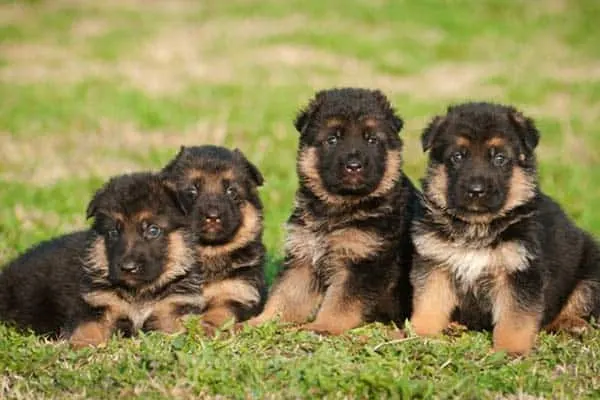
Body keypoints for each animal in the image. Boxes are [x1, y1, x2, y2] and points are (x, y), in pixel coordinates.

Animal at [0, 173, 202, 346]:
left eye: (153, 230)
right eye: (113, 232)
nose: (128, 268)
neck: (138, 293)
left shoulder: (171, 310)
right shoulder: (96, 306)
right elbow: (87, 331)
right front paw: (80, 348)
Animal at [159, 145, 264, 330]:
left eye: (231, 191)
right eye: (192, 191)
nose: (213, 216)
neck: (209, 252)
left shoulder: (236, 292)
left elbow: (220, 312)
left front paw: (206, 325)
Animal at [246, 87, 420, 334]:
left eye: (372, 139)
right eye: (333, 139)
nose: (354, 166)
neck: (341, 205)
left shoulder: (362, 262)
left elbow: (341, 302)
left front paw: (323, 326)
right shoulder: (303, 257)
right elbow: (286, 294)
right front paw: (261, 321)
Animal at [410, 101, 600, 354]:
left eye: (499, 158)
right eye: (457, 157)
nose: (476, 190)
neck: (478, 227)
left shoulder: (520, 272)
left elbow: (515, 318)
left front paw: (511, 350)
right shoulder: (435, 264)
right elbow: (429, 303)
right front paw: (420, 334)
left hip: (592, 271)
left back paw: (572, 324)